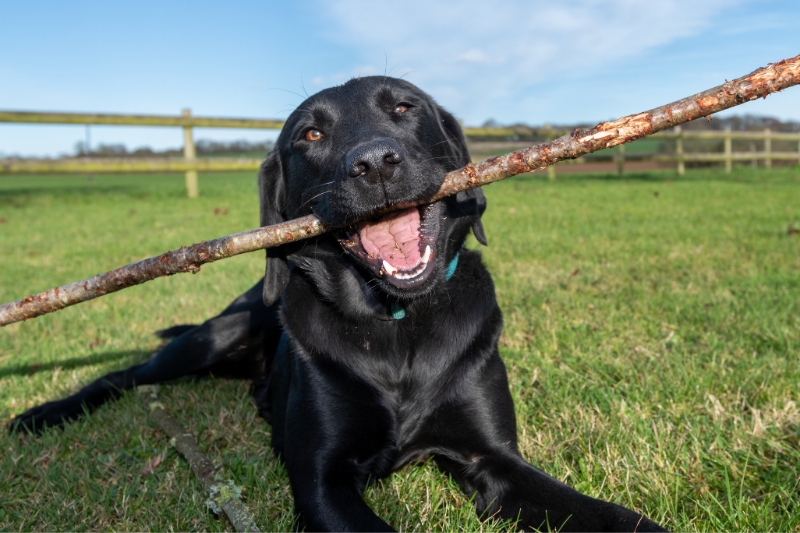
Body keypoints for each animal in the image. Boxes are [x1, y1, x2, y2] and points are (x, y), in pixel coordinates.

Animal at [10, 77, 664, 528]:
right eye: (311, 134)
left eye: (405, 107)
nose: (374, 163)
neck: (396, 324)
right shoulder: (323, 480)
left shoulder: (497, 460)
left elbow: (612, 516)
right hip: (216, 334)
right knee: (124, 375)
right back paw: (41, 414)